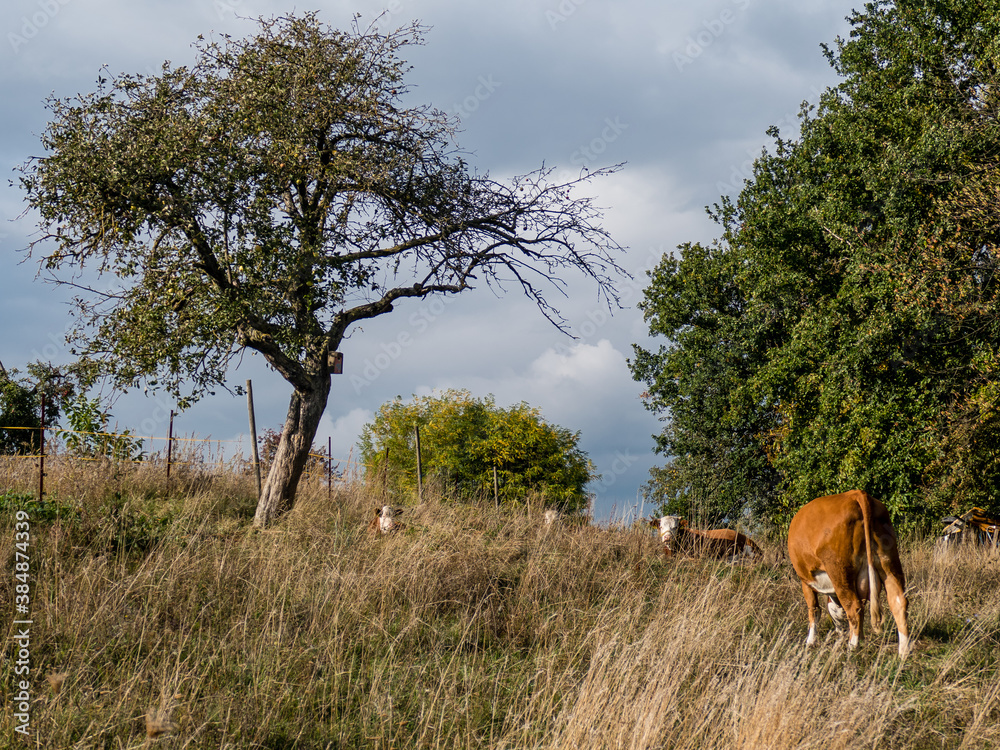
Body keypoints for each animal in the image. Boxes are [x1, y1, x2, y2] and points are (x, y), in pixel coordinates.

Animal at [787, 489, 909, 657]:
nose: (840, 632)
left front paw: (810, 642)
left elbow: (814, 610)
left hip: (839, 571)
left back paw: (851, 648)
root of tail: (856, 494)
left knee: (854, 607)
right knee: (898, 602)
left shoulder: (806, 580)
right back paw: (903, 652)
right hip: (890, 565)